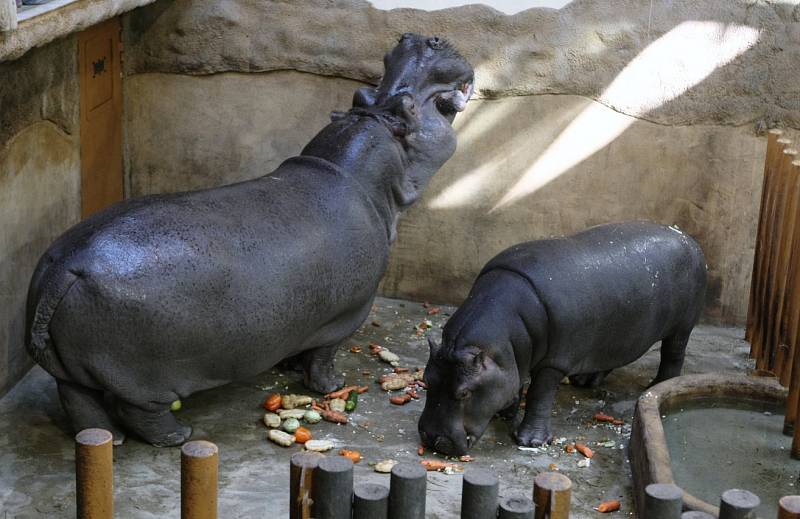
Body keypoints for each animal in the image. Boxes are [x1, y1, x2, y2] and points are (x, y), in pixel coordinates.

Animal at [28, 33, 472, 446]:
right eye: (408, 108)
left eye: (362, 93)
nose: (421, 39)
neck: (355, 169)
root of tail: (68, 265)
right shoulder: (344, 317)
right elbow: (322, 358)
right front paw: (330, 387)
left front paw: (288, 367)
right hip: (144, 377)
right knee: (137, 410)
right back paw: (178, 435)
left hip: (71, 367)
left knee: (79, 400)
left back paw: (106, 439)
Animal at [418, 222, 708, 456]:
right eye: (426, 378)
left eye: (464, 392)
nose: (433, 439)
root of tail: (687, 237)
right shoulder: (513, 356)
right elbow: (514, 381)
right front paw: (504, 412)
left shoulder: (554, 361)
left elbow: (539, 394)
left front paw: (530, 441)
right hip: (617, 334)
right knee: (612, 356)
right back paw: (585, 381)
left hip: (682, 327)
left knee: (673, 354)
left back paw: (658, 385)